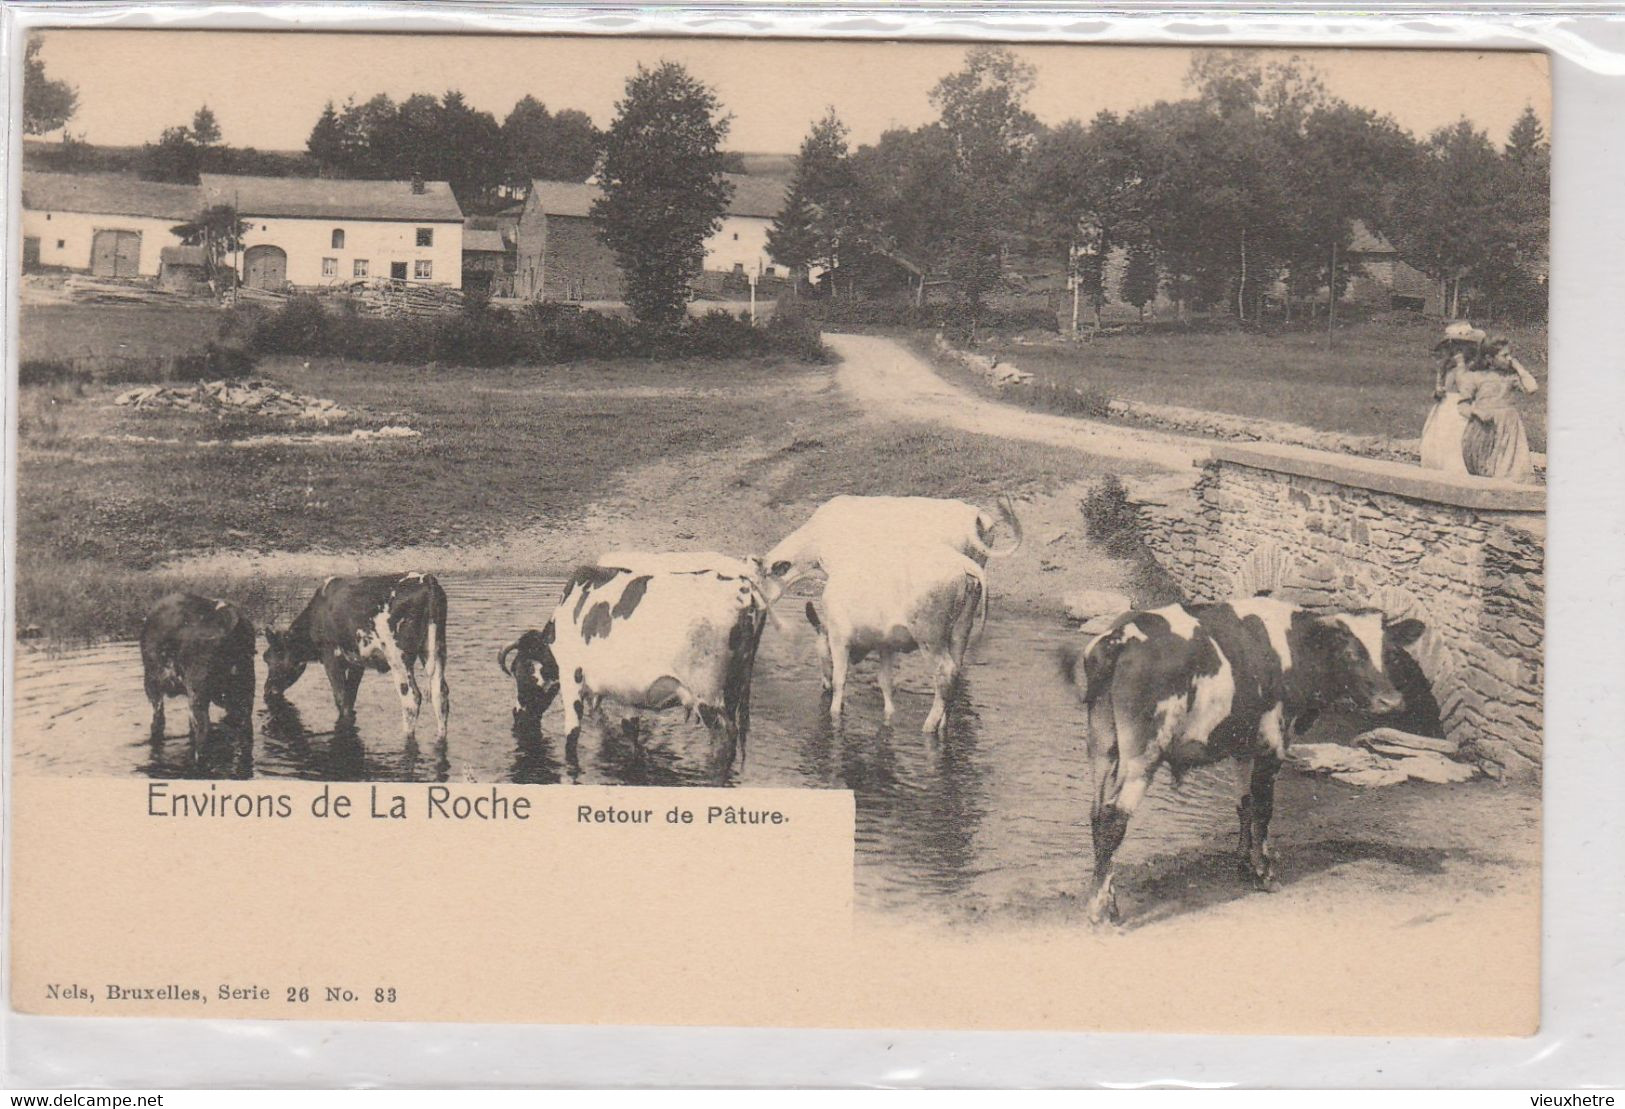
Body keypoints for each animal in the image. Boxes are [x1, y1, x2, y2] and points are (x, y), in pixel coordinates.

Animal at [141, 588, 256, 751]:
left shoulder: (153, 686)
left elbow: (157, 723)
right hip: (246, 687)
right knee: (246, 728)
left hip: (197, 690)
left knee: (204, 729)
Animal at [263, 569, 451, 741]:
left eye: (268, 658)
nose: (266, 689)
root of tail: (427, 579)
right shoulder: (357, 662)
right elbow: (350, 698)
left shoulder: (330, 655)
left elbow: (340, 697)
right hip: (436, 649)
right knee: (440, 694)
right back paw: (440, 738)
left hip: (398, 657)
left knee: (411, 699)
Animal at [1053, 595, 1423, 923]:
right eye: (1350, 654)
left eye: (1390, 653)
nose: (1391, 701)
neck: (1293, 648)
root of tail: (1119, 637)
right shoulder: (1274, 741)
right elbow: (1264, 809)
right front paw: (1264, 873)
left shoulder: (1244, 746)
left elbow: (1244, 805)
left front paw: (1244, 865)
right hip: (1142, 754)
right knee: (1114, 817)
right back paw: (1100, 911)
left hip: (1102, 745)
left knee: (1097, 813)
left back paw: (1108, 900)